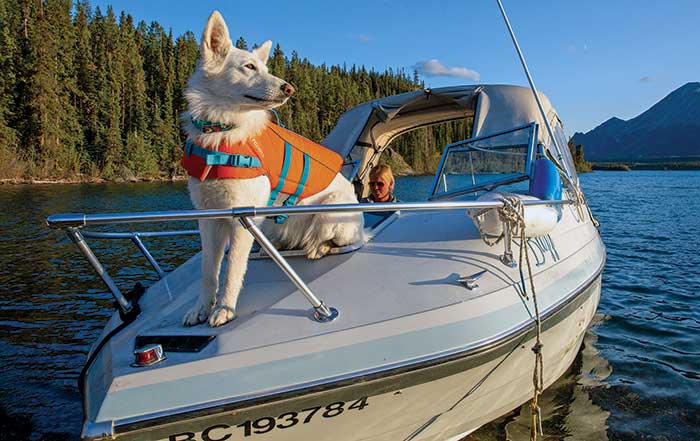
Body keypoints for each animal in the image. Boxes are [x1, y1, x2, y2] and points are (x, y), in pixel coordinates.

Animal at [180, 11, 364, 326]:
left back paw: (317, 247)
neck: (221, 131)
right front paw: (201, 308)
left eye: (265, 67)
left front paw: (224, 310)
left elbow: (231, 270)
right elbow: (208, 271)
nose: (289, 88)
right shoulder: (208, 217)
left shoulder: (242, 218)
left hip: (330, 214)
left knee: (333, 240)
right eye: (249, 66)